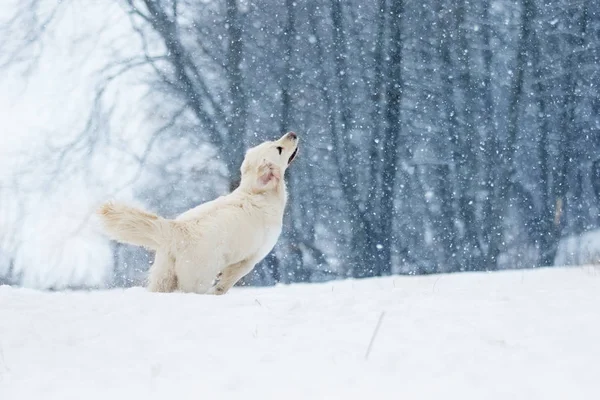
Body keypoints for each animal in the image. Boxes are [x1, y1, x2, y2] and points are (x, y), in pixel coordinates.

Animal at [98, 132, 300, 294]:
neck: (256, 192)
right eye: (279, 148)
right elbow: (227, 281)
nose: (293, 133)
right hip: (197, 279)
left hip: (163, 276)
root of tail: (177, 229)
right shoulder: (251, 258)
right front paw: (218, 292)